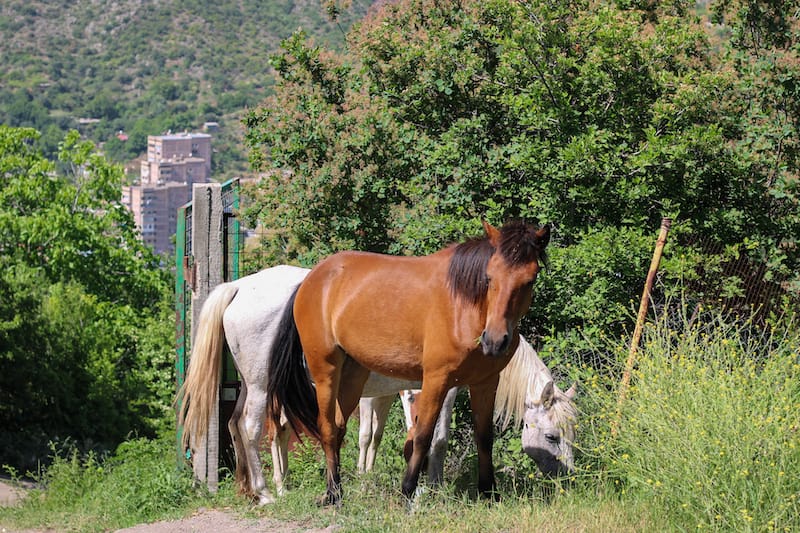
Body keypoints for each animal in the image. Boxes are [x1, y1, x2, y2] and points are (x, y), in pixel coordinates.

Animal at [177, 264, 576, 502]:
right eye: (552, 436)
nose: (569, 479)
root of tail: (239, 287)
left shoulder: (384, 394)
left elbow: (377, 436)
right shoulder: (423, 389)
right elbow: (434, 437)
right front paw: (429, 488)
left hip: (252, 383)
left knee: (236, 424)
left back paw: (254, 488)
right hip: (263, 386)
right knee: (252, 428)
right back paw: (265, 491)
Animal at [266, 219, 548, 502]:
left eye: (531, 280)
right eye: (489, 277)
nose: (495, 341)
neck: (464, 308)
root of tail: (310, 279)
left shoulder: (485, 383)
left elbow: (484, 436)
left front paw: (489, 492)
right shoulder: (436, 380)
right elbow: (423, 435)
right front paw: (407, 491)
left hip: (353, 376)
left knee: (337, 427)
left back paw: (338, 490)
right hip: (325, 371)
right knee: (325, 427)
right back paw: (332, 493)